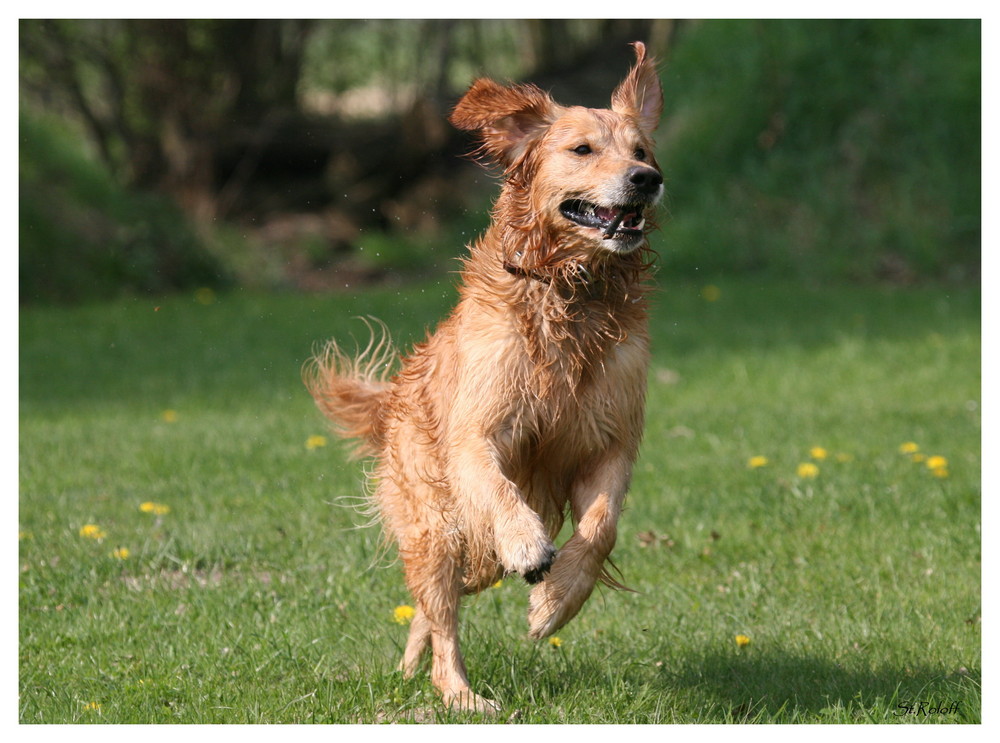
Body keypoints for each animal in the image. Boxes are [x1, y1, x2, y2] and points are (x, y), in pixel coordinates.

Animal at [304, 42, 664, 716]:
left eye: (644, 151)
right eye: (583, 150)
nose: (646, 180)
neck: (570, 293)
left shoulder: (611, 441)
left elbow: (601, 526)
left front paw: (556, 601)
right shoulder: (477, 434)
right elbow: (499, 490)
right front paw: (527, 544)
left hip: (469, 554)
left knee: (431, 608)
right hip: (439, 526)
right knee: (442, 614)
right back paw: (460, 695)